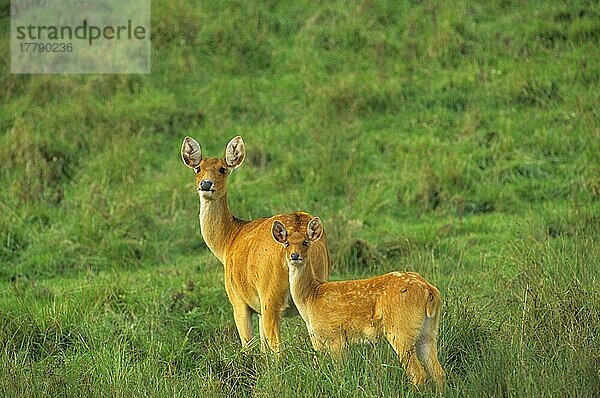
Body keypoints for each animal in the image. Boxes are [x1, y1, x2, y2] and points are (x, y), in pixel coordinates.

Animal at [183, 135, 332, 352]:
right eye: (198, 168)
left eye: (223, 169)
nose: (206, 184)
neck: (228, 242)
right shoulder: (259, 309)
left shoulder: (238, 300)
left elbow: (249, 345)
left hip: (270, 295)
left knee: (277, 347)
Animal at [272, 218, 446, 392]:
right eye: (287, 243)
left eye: (305, 242)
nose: (295, 256)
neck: (311, 299)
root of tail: (430, 291)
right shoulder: (318, 340)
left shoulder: (336, 336)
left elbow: (340, 372)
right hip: (428, 332)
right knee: (439, 373)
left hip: (401, 329)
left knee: (418, 374)